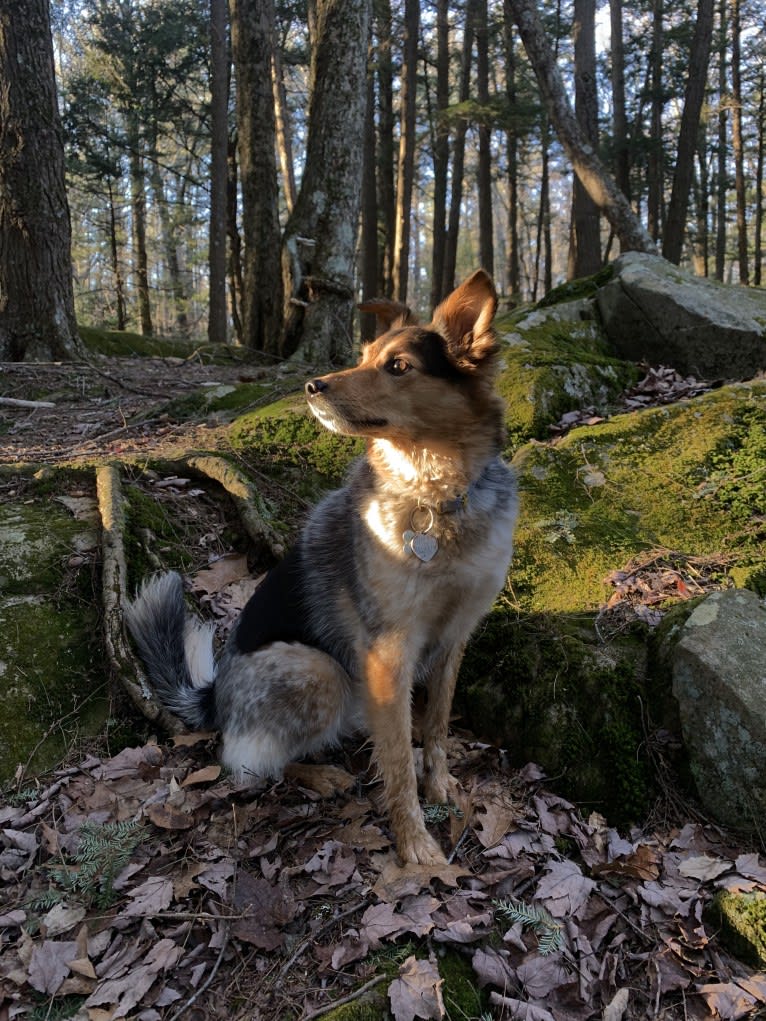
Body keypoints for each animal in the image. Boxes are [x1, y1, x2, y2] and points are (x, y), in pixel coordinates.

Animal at [126, 271, 518, 861]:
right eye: (361, 357)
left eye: (397, 366)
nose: (312, 386)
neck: (433, 497)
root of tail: (214, 695)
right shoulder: (389, 649)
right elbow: (398, 760)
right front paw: (414, 841)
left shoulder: (455, 636)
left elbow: (436, 728)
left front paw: (441, 784)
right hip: (318, 670)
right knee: (242, 763)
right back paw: (318, 775)